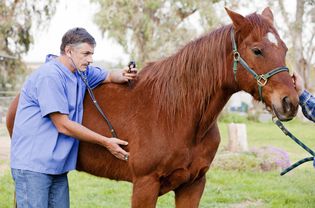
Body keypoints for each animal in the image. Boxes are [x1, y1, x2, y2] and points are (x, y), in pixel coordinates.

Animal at [6, 7, 298, 207]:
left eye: (284, 48)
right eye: (257, 50)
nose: (290, 102)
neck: (176, 114)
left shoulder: (193, 185)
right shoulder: (145, 186)